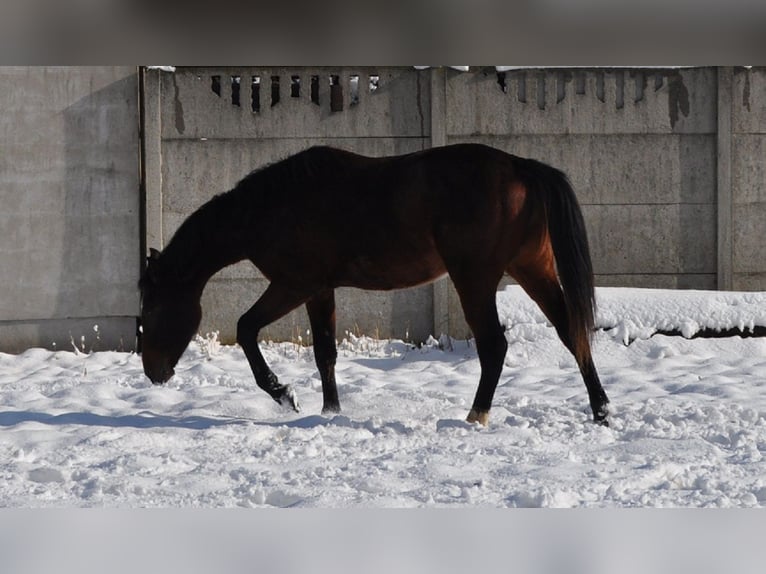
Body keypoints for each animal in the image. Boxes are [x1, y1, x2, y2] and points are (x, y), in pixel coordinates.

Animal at [140, 144, 612, 428]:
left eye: (152, 306)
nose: (153, 372)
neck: (271, 207)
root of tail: (521, 167)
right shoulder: (319, 290)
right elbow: (325, 353)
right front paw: (330, 411)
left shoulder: (294, 284)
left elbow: (245, 328)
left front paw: (283, 394)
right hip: (533, 268)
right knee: (571, 332)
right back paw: (602, 410)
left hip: (475, 280)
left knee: (495, 346)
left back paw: (475, 415)